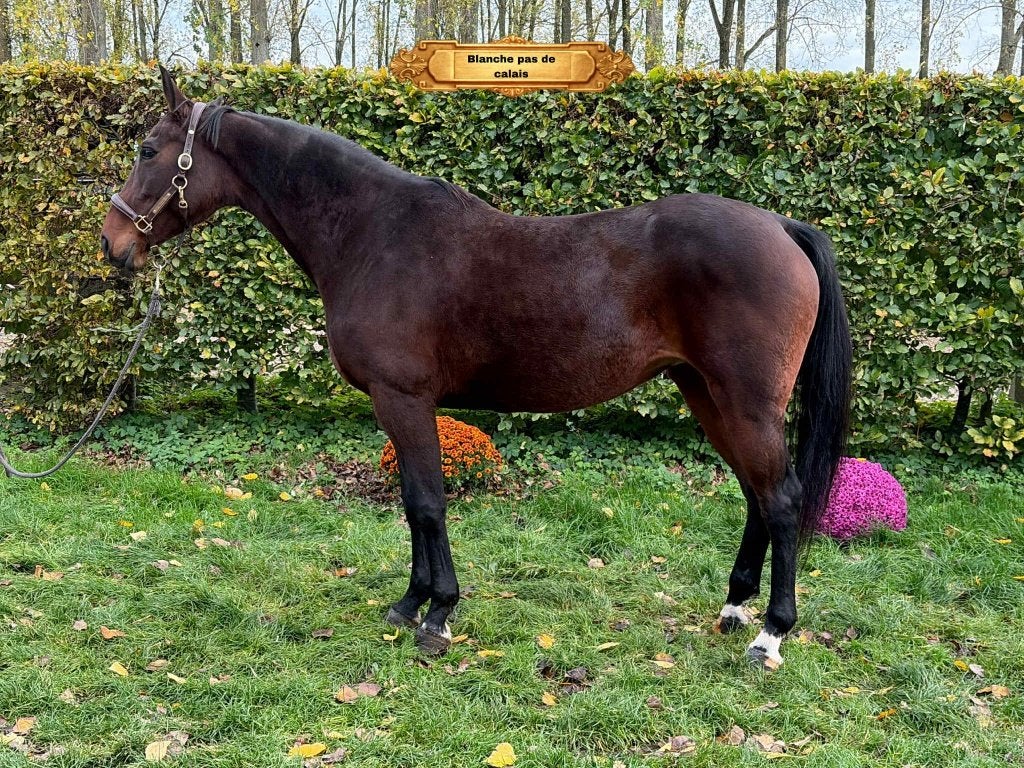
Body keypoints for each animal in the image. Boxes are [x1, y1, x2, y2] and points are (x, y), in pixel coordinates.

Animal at [101, 66, 852, 667]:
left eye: (147, 149)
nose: (113, 244)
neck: (372, 232)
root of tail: (781, 226)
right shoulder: (399, 403)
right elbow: (413, 501)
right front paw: (410, 603)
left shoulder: (402, 396)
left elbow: (428, 503)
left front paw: (437, 615)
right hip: (708, 395)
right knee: (757, 495)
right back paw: (733, 610)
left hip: (744, 401)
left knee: (782, 500)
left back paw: (771, 634)